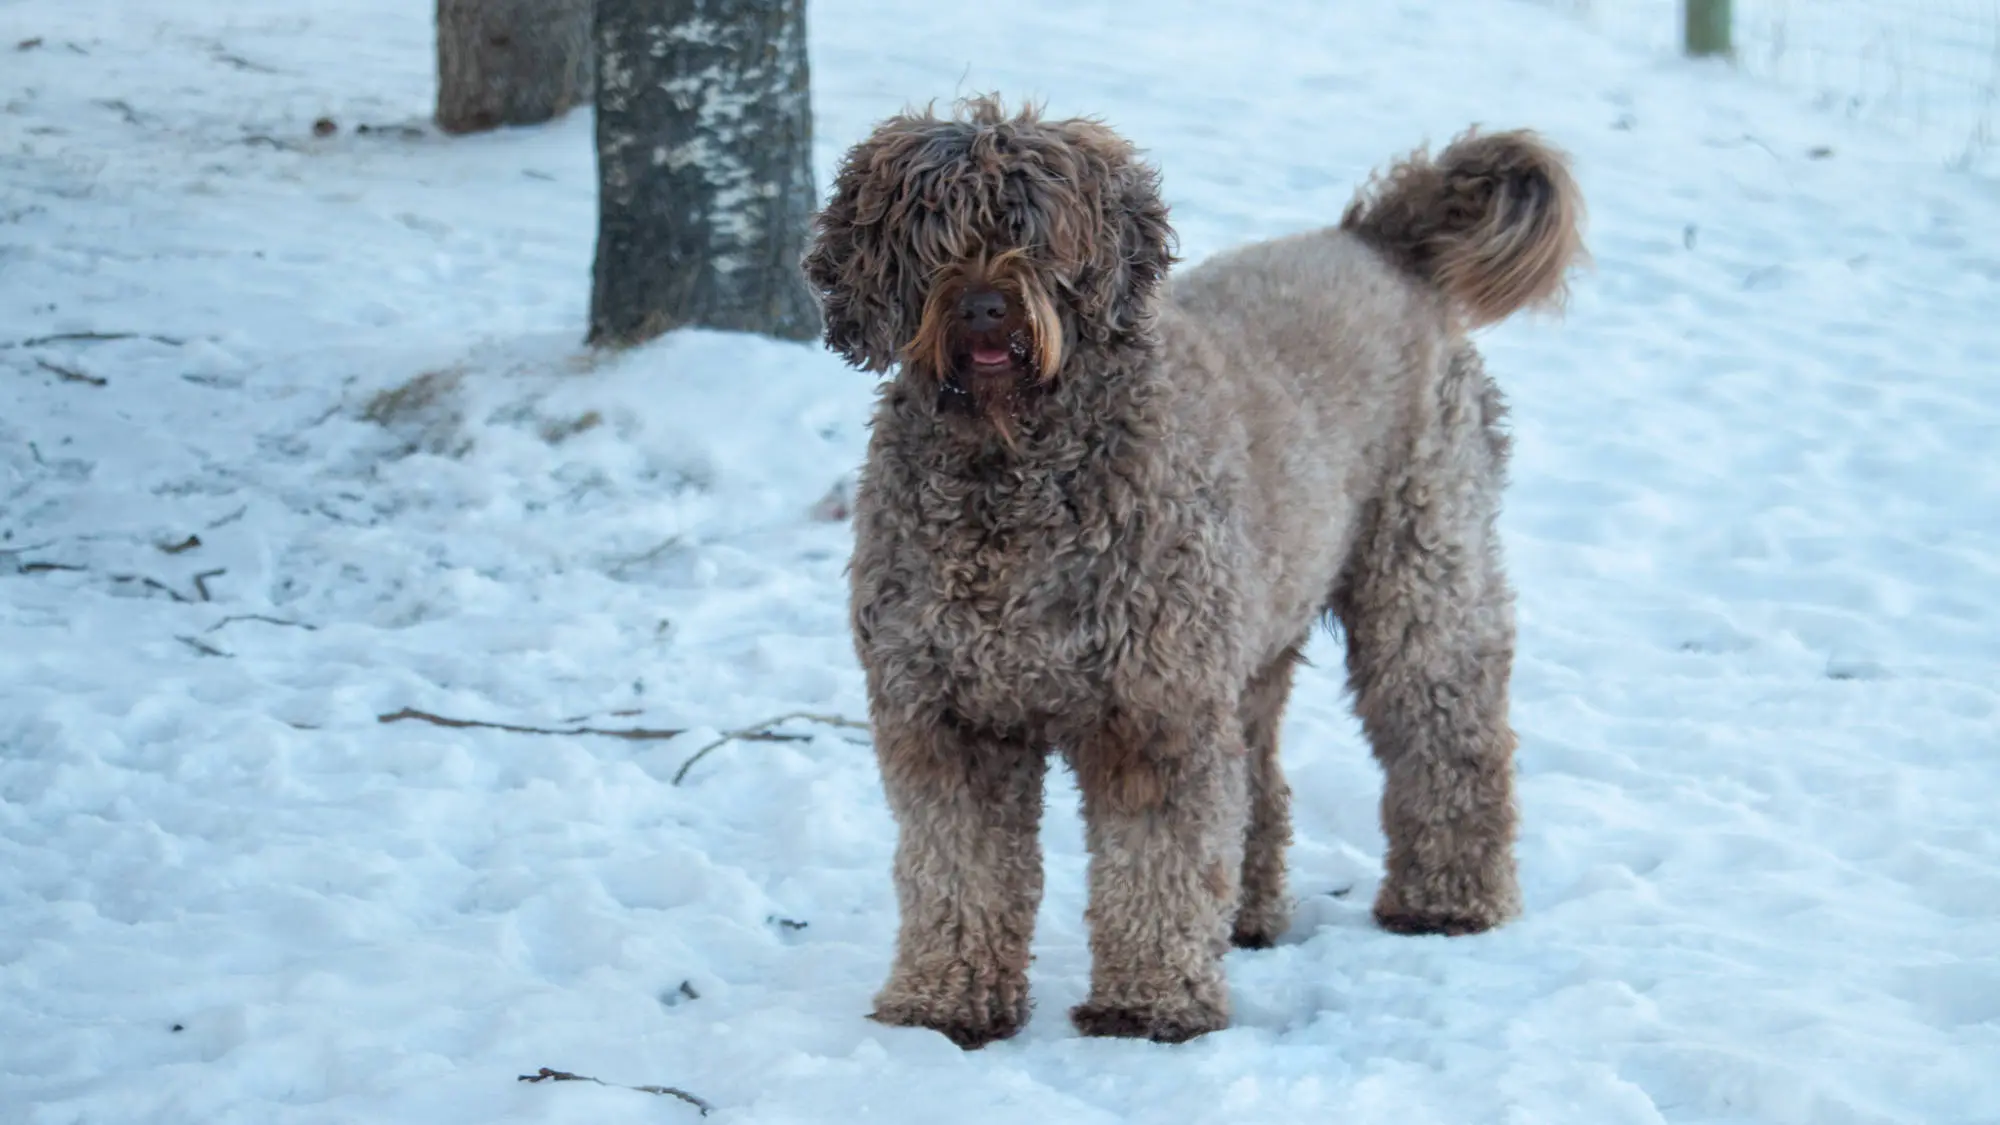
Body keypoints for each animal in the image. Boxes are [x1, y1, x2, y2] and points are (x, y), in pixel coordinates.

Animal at [804, 94, 1584, 1040]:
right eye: (932, 235)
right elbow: (958, 869)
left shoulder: (1152, 711)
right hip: (1249, 633)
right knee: (1260, 787)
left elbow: (1158, 861)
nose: (987, 307)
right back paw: (1249, 916)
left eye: (1039, 233)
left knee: (1449, 730)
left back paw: (1448, 898)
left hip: (1421, 567)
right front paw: (943, 1001)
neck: (1011, 471)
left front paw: (1148, 1003)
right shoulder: (947, 715)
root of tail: (1377, 240)